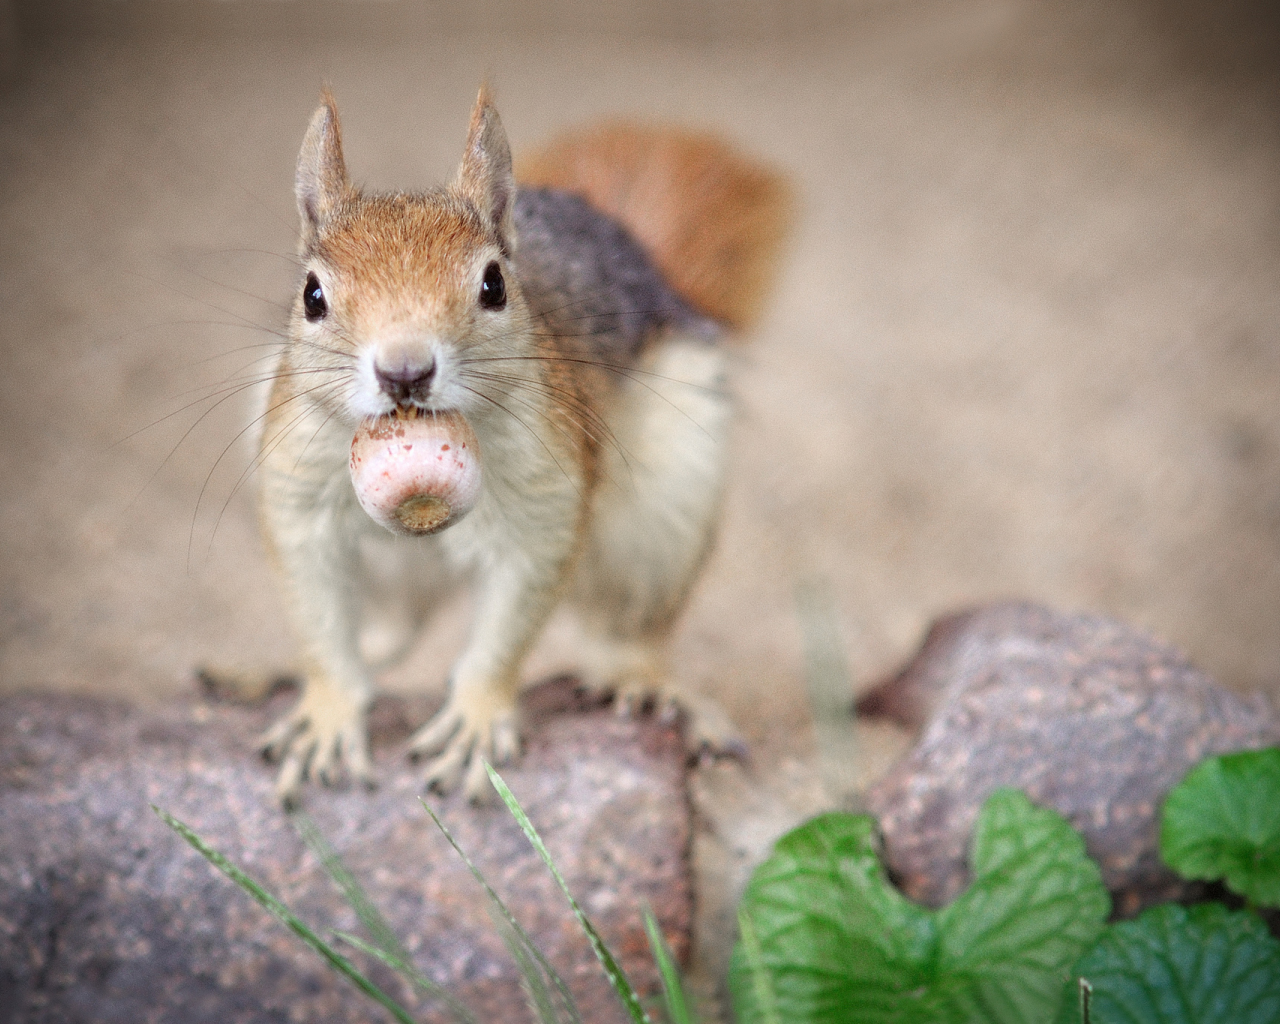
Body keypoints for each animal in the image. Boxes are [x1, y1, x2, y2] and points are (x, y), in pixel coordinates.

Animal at [258, 88, 788, 803]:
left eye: (494, 286)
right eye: (312, 294)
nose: (404, 371)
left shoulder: (547, 489)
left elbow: (515, 611)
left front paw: (477, 720)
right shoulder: (299, 488)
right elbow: (315, 610)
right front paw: (326, 714)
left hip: (665, 514)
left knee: (627, 632)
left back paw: (649, 687)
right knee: (398, 626)